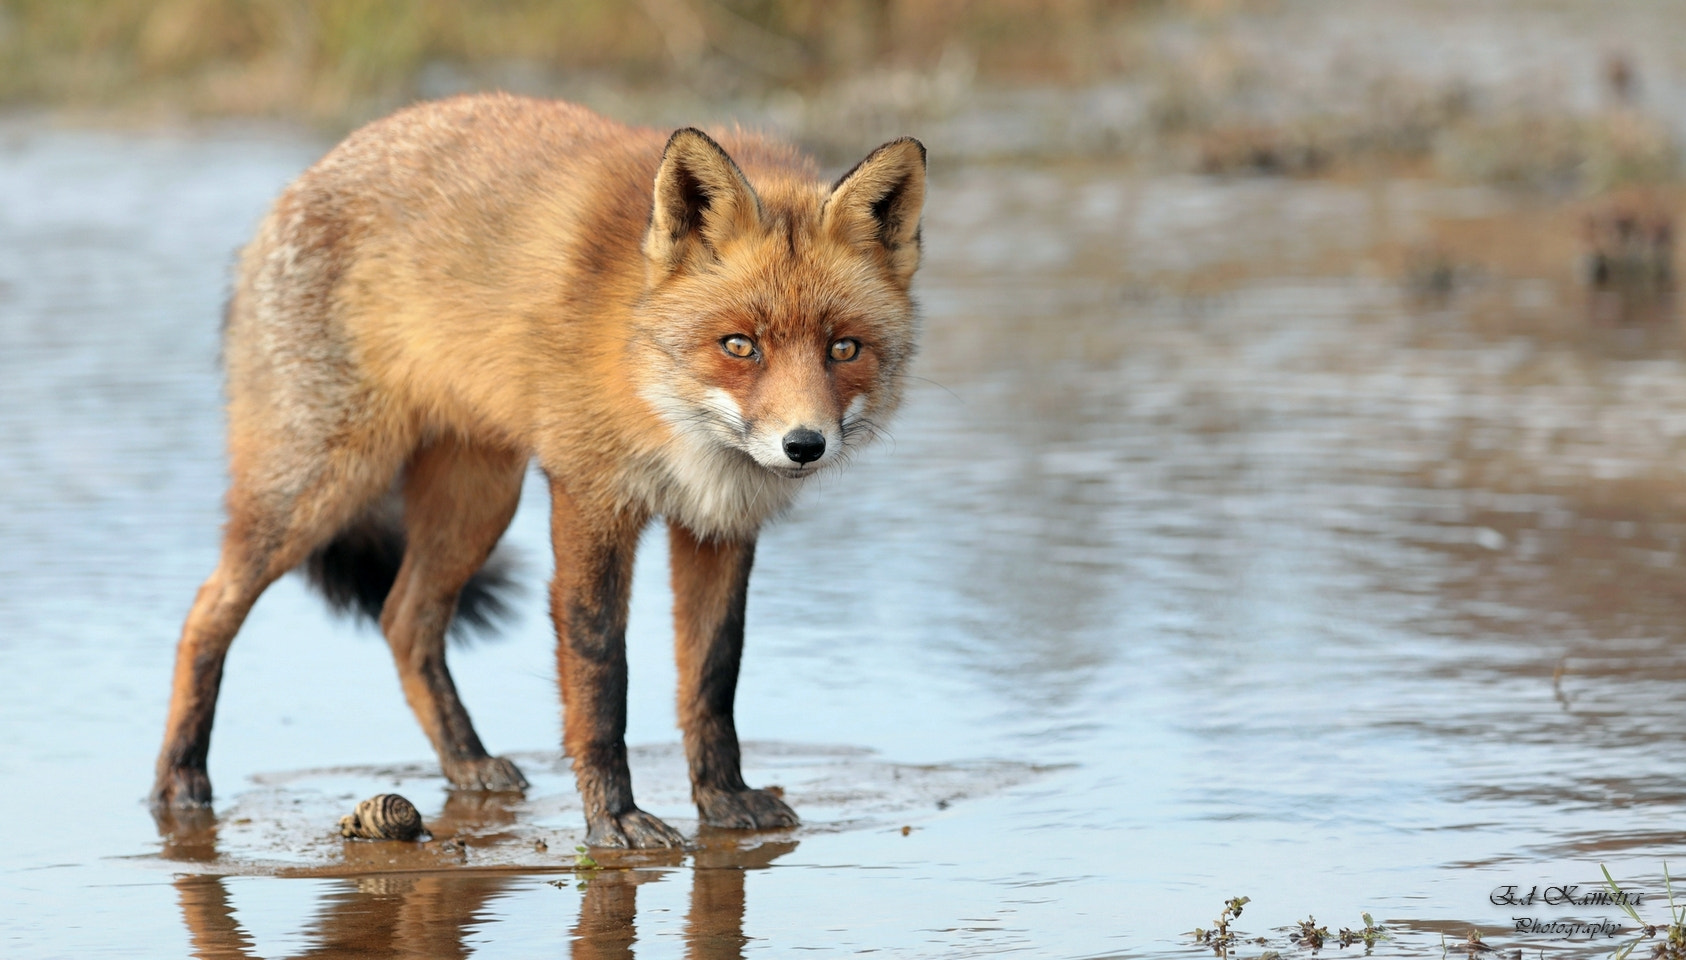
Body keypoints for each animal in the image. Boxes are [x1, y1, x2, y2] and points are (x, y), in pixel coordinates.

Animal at [150, 92, 926, 849]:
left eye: (844, 348)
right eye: (740, 345)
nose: (804, 444)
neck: (655, 392)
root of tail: (296, 187)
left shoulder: (717, 525)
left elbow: (712, 676)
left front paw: (723, 798)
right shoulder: (590, 497)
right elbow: (600, 669)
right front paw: (613, 818)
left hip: (477, 503)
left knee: (405, 620)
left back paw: (466, 761)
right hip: (322, 486)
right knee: (206, 612)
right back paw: (180, 779)